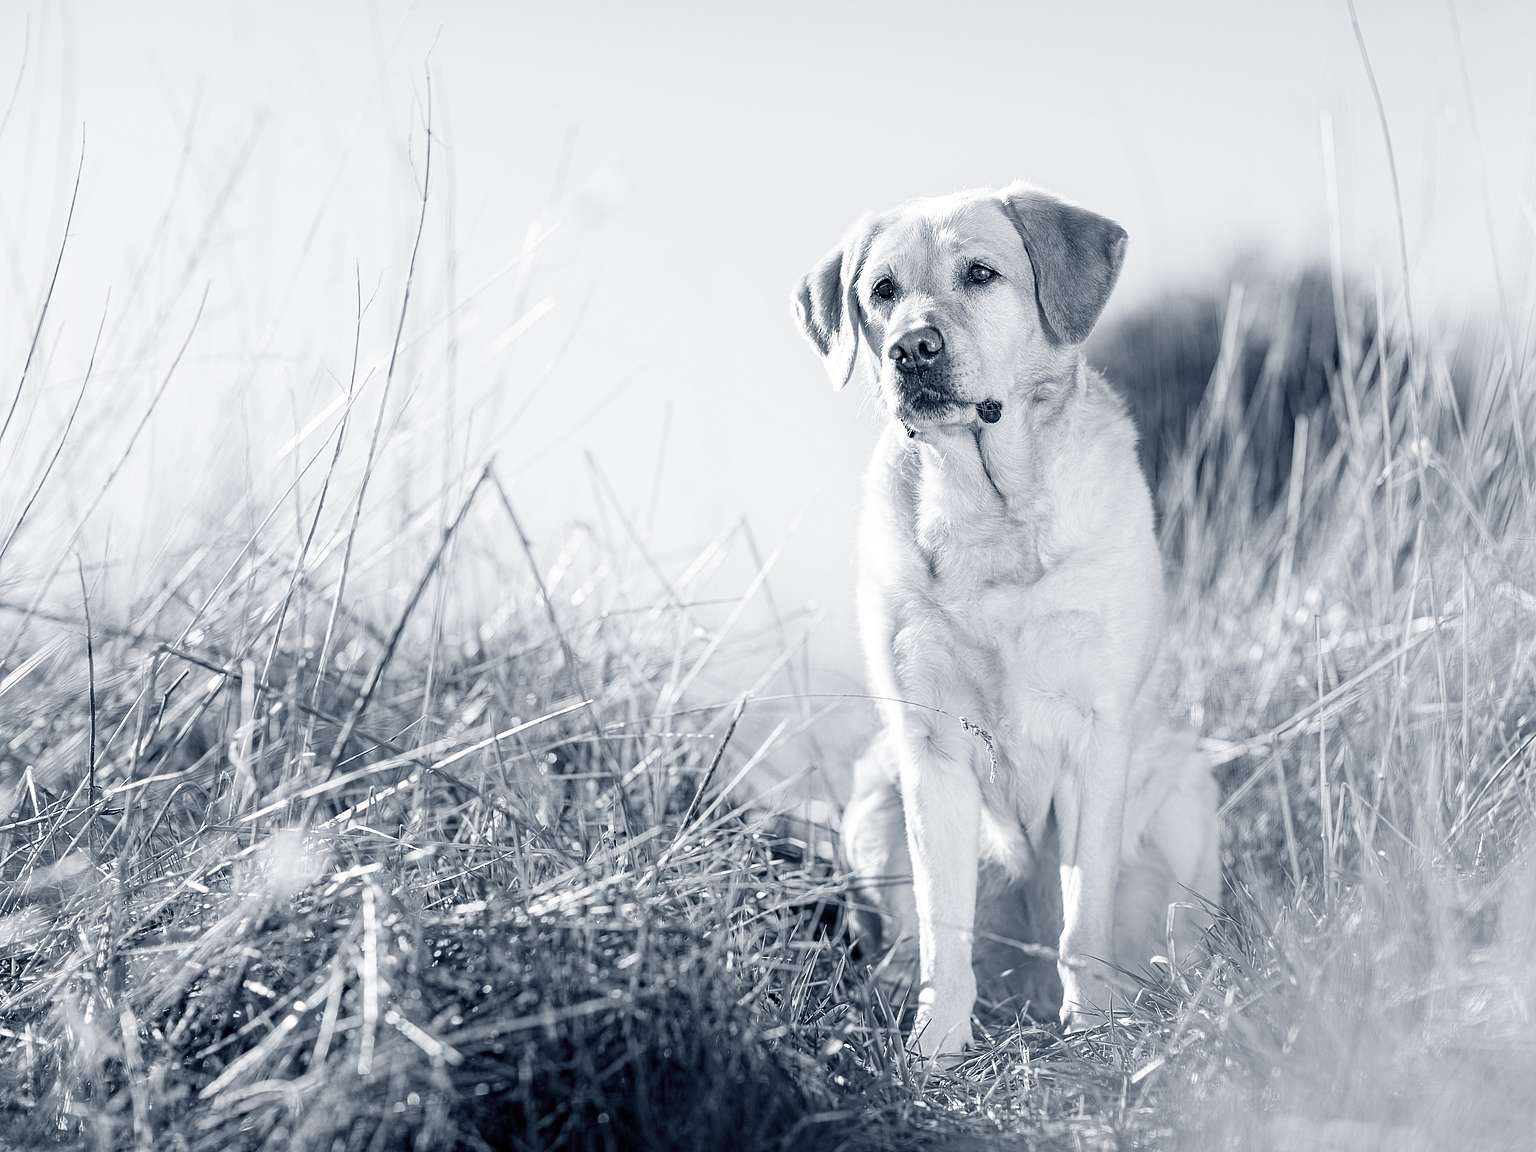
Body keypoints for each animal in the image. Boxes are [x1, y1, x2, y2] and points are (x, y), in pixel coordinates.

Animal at [798, 185, 1216, 1062]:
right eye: (881, 291)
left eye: (981, 273)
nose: (912, 349)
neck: (989, 507)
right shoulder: (930, 746)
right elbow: (942, 925)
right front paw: (936, 1047)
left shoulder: (1096, 735)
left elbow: (1082, 920)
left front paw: (1094, 1032)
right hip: (873, 796)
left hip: (1188, 792)